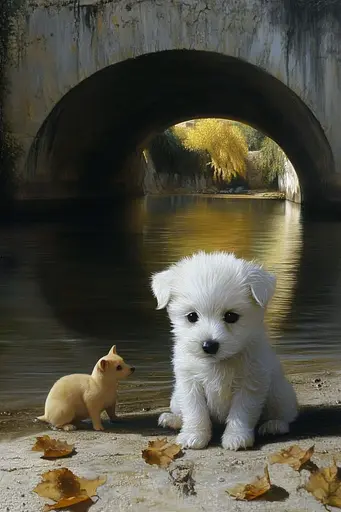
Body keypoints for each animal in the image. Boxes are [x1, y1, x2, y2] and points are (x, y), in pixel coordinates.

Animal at [150, 250, 296, 450]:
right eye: (191, 316)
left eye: (231, 316)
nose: (209, 345)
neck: (218, 363)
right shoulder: (189, 383)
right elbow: (195, 412)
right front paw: (193, 435)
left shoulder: (250, 383)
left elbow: (241, 413)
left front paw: (236, 437)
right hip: (176, 397)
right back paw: (173, 420)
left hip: (280, 393)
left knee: (285, 414)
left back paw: (274, 425)